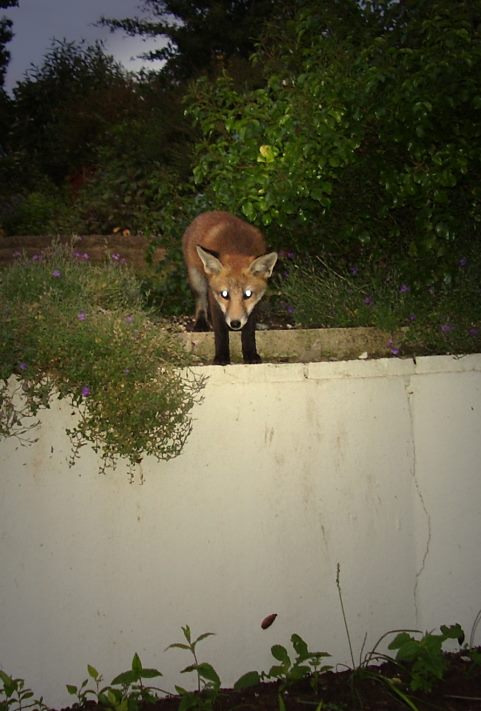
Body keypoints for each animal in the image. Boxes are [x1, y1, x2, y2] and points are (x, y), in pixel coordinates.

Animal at [181, 210, 278, 368]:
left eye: (247, 294)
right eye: (224, 294)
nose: (235, 324)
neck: (236, 248)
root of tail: (211, 212)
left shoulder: (254, 305)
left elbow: (249, 332)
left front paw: (250, 354)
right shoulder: (214, 298)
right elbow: (221, 332)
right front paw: (221, 357)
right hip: (197, 279)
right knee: (200, 301)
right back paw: (201, 323)